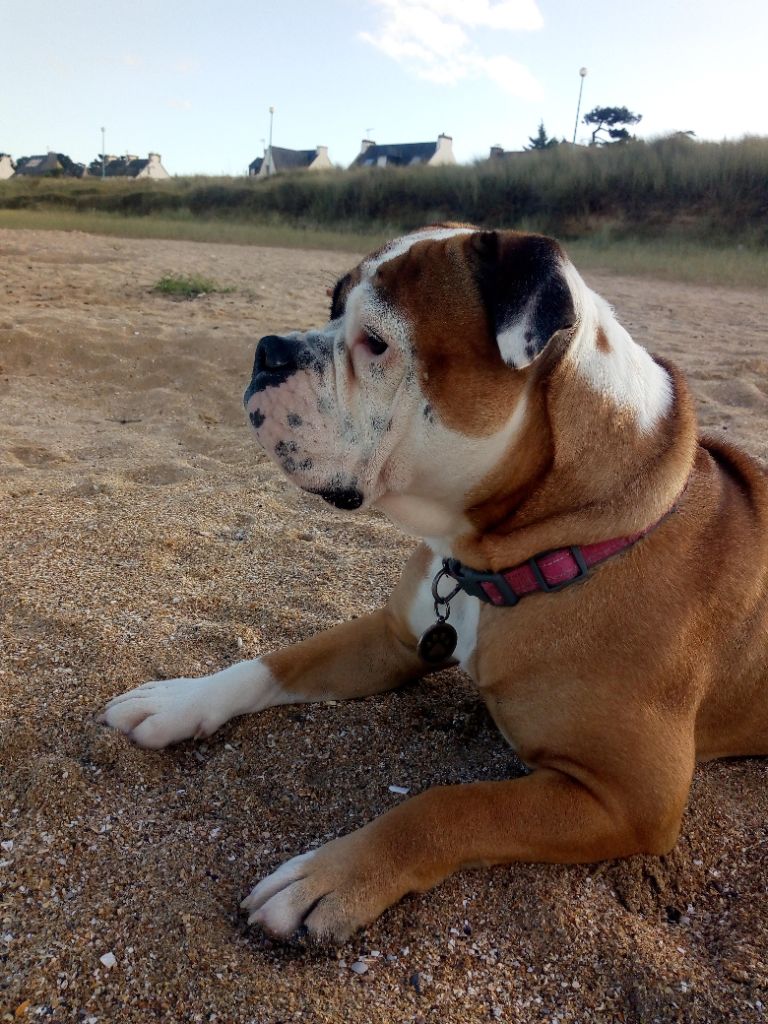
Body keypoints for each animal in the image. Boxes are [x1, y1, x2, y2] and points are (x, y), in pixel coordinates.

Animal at [97, 226, 768, 942]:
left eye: (377, 343)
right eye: (331, 307)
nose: (268, 349)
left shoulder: (628, 799)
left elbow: (450, 806)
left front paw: (333, 875)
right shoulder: (393, 637)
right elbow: (276, 661)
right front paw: (178, 700)